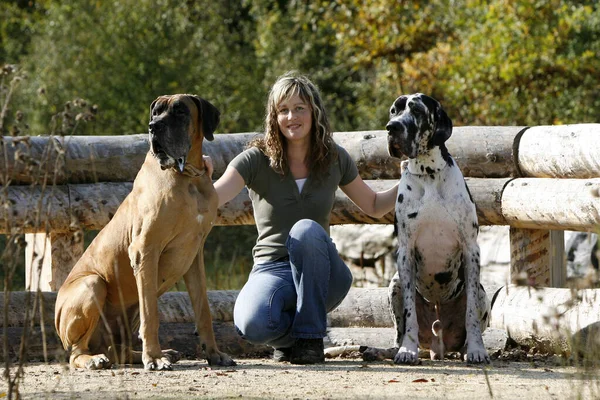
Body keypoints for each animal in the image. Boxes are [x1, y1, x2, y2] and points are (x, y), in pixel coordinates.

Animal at [364, 94, 490, 366]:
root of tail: (437, 344)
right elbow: (409, 312)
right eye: (393, 111)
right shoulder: (405, 252)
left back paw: (468, 349)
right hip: (394, 284)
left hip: (483, 293)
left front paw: (478, 350)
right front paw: (407, 351)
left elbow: (471, 315)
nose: (392, 128)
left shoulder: (471, 250)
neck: (429, 174)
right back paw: (382, 351)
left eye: (417, 111)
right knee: (398, 333)